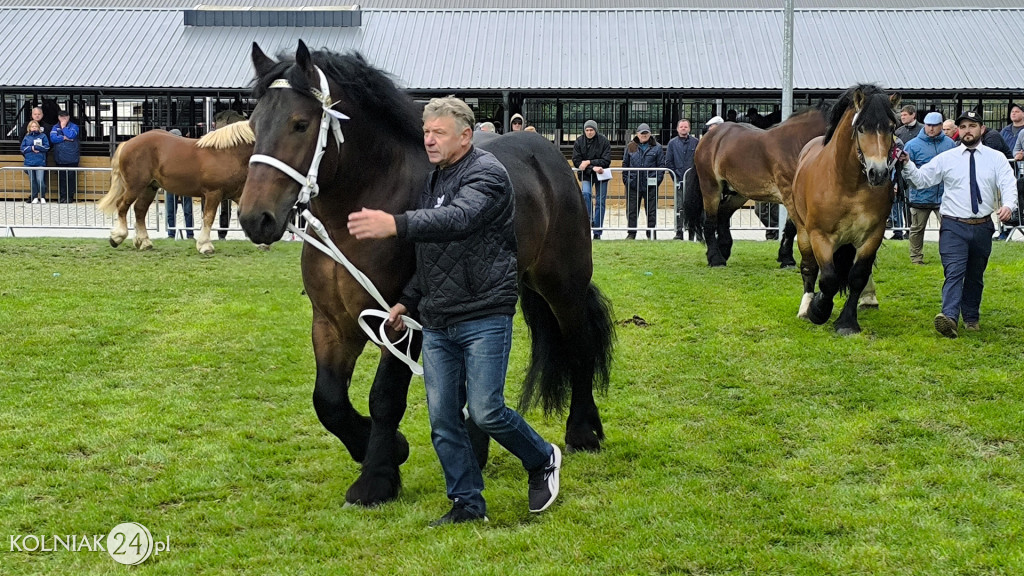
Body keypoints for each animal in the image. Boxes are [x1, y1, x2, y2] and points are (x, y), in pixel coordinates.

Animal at [235, 42, 610, 504]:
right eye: (253, 124)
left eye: (300, 124)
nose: (255, 219)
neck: (354, 216)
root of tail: (551, 157)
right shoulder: (333, 323)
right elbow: (329, 400)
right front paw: (387, 449)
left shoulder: (401, 322)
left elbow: (384, 398)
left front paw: (376, 479)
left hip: (562, 284)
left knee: (579, 344)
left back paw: (583, 431)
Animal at [786, 83, 901, 334]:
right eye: (861, 128)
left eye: (891, 127)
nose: (878, 173)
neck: (849, 185)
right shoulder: (820, 236)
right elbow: (828, 278)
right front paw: (818, 310)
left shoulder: (872, 236)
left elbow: (857, 276)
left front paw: (847, 322)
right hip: (803, 231)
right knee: (809, 267)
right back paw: (806, 307)